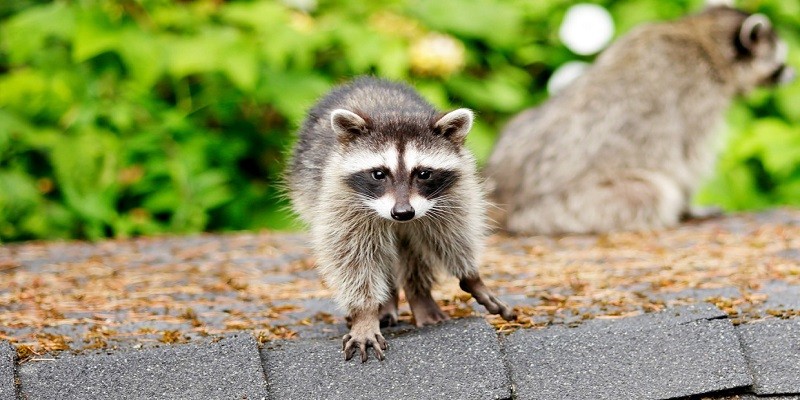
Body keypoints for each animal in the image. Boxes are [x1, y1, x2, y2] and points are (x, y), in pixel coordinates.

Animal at [290, 76, 516, 360]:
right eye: (378, 174)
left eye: (424, 173)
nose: (403, 213)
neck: (393, 112)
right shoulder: (340, 200)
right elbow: (351, 257)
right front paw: (365, 314)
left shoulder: (453, 195)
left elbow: (453, 234)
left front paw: (472, 277)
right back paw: (385, 303)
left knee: (414, 251)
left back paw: (419, 295)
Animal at [488, 5, 792, 234]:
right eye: (780, 60)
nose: (792, 73)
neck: (699, 34)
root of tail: (504, 197)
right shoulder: (698, 97)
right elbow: (687, 159)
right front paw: (690, 206)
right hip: (569, 206)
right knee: (654, 193)